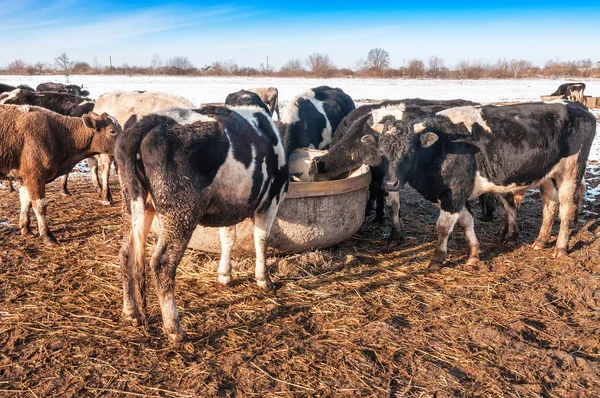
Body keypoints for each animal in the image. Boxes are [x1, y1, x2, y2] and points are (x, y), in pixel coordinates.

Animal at [116, 105, 290, 342]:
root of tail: (152, 121)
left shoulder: (230, 206)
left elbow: (228, 238)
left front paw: (225, 275)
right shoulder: (272, 198)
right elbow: (261, 239)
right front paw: (264, 280)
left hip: (135, 203)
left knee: (126, 253)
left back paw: (130, 313)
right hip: (181, 211)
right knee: (162, 263)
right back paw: (175, 329)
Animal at [360, 101, 596, 268]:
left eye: (409, 151)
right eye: (382, 151)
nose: (390, 183)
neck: (441, 146)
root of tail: (577, 106)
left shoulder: (454, 193)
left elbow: (443, 227)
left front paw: (437, 259)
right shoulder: (456, 194)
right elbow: (466, 222)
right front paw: (474, 254)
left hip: (571, 171)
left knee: (566, 209)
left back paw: (560, 248)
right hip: (547, 175)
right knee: (550, 206)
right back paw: (540, 241)